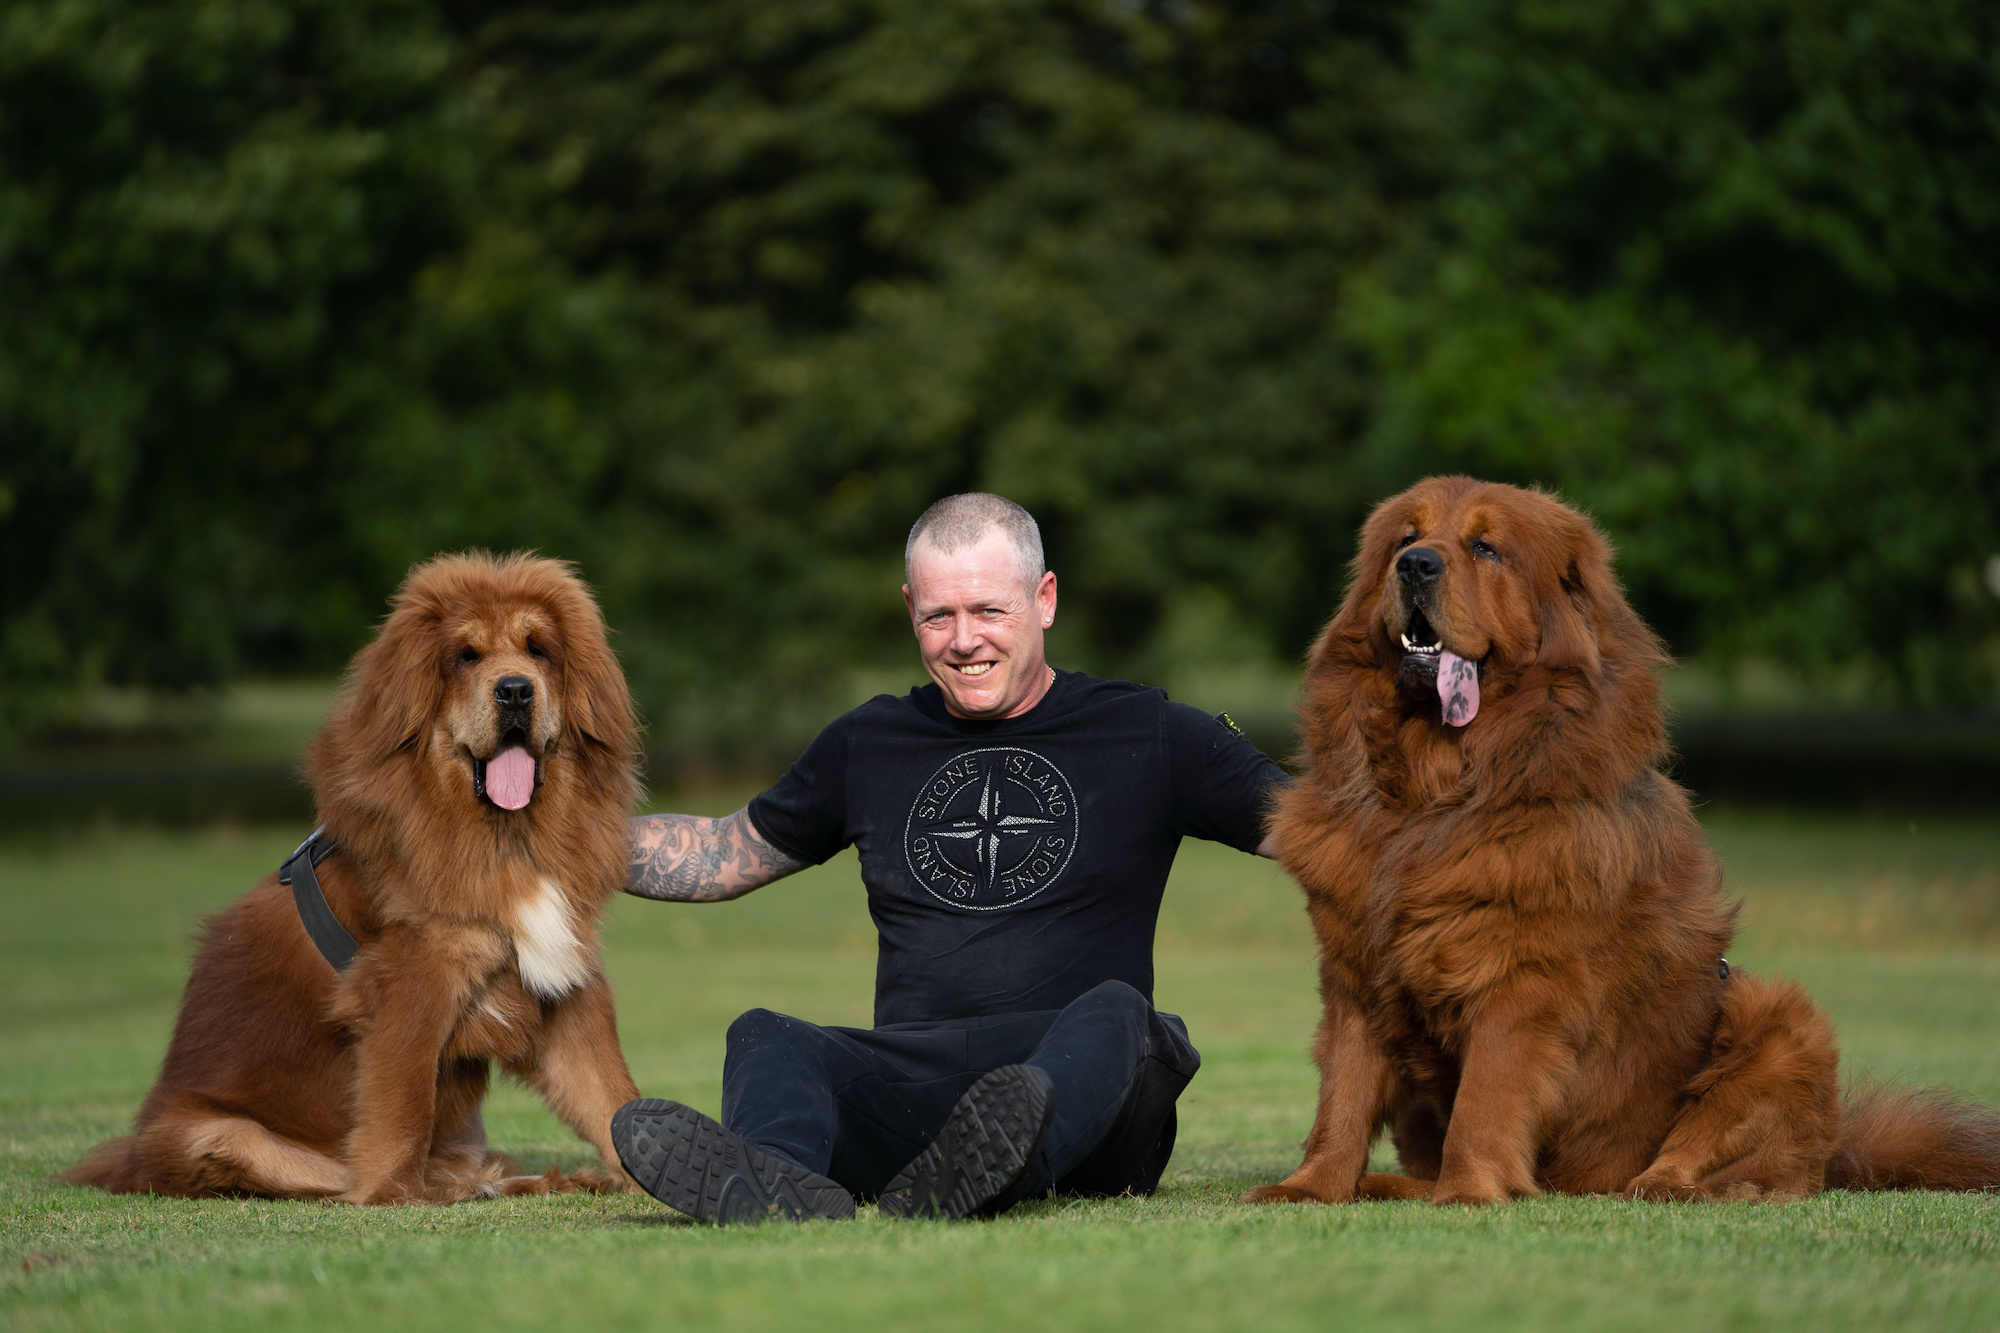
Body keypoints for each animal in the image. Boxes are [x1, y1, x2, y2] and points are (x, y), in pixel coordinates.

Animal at [64, 556, 640, 1200]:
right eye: (465, 657)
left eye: (539, 650)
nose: (515, 689)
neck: (504, 836)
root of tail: (129, 1163)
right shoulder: (413, 981)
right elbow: (403, 1105)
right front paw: (392, 1194)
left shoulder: (560, 976)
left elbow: (608, 1093)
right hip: (218, 1134)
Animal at [1248, 478, 2000, 1200]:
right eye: (1406, 538)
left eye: (1486, 548)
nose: (1416, 565)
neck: (1430, 796)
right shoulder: (1357, 976)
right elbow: (1342, 1098)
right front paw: (1310, 1189)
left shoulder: (1519, 986)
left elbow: (1483, 1104)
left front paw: (1467, 1193)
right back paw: (1388, 1184)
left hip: (1780, 1019)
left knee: (1737, 1158)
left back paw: (1664, 1187)